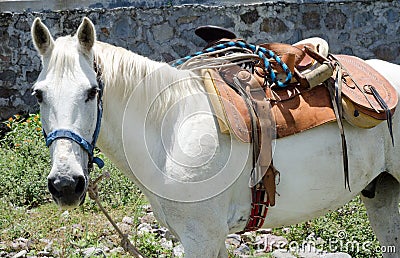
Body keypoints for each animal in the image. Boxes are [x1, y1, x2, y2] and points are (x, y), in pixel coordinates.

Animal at [30, 17, 396, 256]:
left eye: (92, 92)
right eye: (39, 94)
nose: (66, 184)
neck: (169, 129)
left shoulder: (201, 237)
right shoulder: (209, 236)